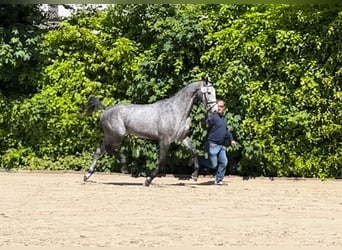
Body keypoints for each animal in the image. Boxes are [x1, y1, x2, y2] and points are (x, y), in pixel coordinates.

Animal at [83, 78, 216, 186]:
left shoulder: (182, 138)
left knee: (99, 151)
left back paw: (87, 175)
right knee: (108, 149)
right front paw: (148, 180)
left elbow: (194, 152)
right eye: (209, 92)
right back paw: (124, 166)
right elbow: (161, 162)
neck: (176, 111)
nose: (214, 110)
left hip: (110, 136)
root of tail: (106, 110)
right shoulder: (165, 140)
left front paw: (194, 176)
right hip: (117, 136)